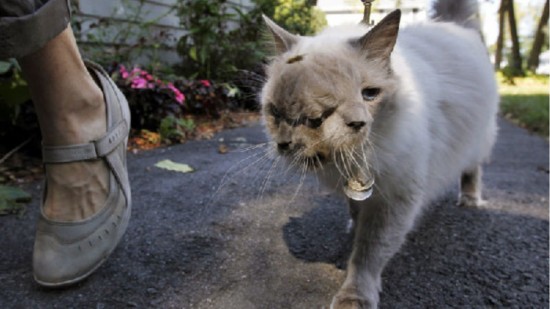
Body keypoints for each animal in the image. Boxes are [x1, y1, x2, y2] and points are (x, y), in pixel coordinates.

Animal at [260, 0, 498, 308]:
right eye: (308, 112)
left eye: (370, 94)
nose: (357, 123)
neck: (350, 158)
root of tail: (453, 25)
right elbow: (355, 209)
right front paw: (353, 223)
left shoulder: (395, 198)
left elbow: (368, 254)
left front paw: (354, 297)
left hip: (478, 139)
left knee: (473, 168)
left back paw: (469, 199)